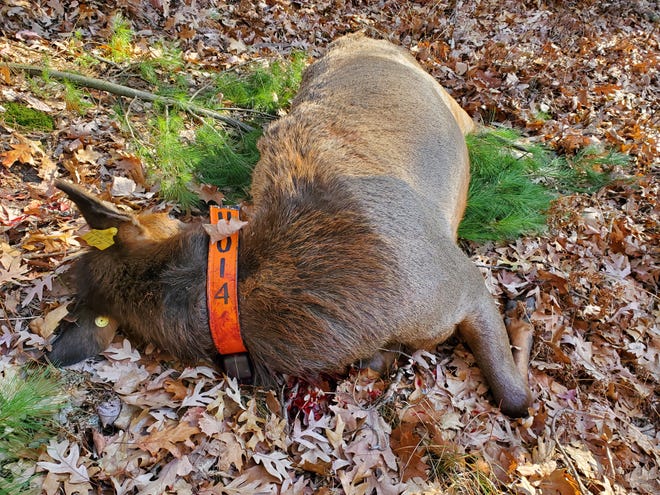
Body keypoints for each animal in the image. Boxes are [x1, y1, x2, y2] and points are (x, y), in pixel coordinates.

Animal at [47, 34, 532, 417]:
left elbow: (517, 398)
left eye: (161, 215)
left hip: (443, 96)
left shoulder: (463, 281)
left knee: (480, 123)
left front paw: (522, 317)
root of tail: (357, 35)